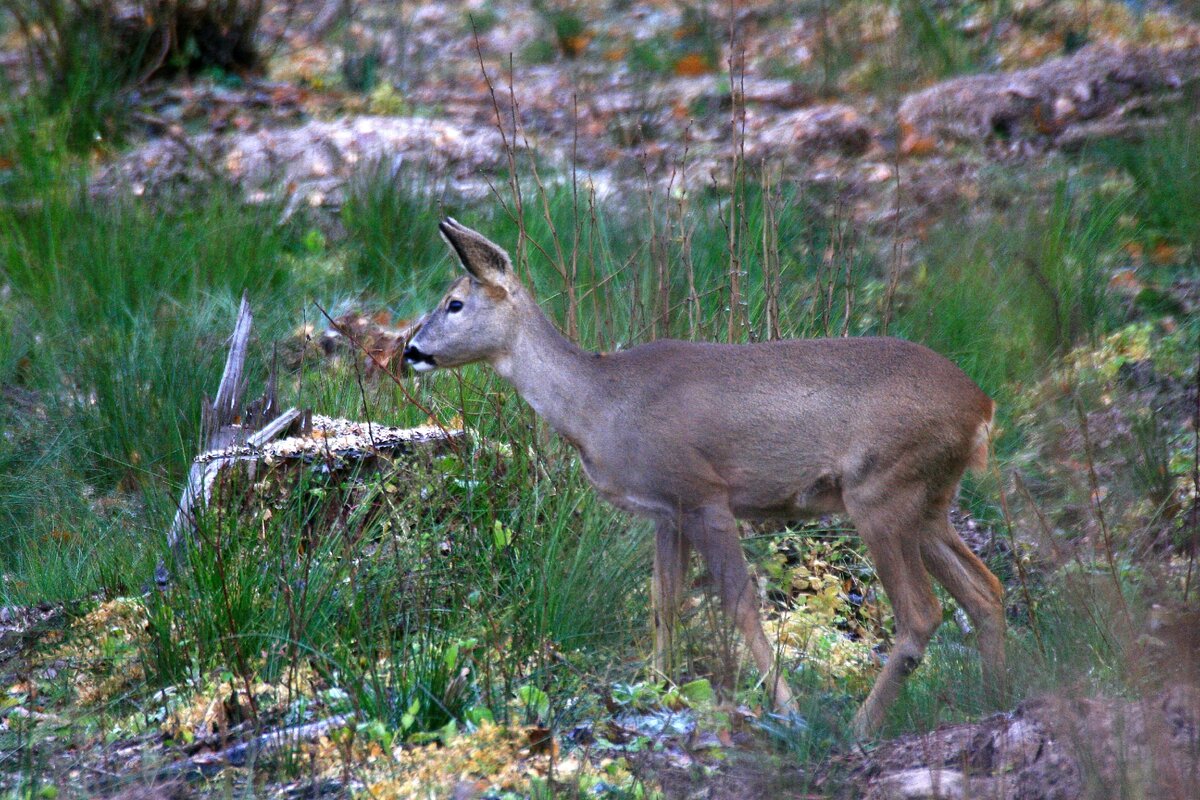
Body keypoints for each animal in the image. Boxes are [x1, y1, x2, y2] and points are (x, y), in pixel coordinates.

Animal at [403, 220, 1003, 738]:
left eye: (454, 303)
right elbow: (662, 602)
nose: (410, 350)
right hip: (928, 501)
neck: (600, 405)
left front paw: (787, 708)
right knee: (986, 591)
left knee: (922, 615)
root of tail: (983, 408)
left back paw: (858, 728)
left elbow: (738, 603)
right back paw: (994, 700)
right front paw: (656, 690)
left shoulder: (703, 492)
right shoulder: (666, 510)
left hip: (880, 490)